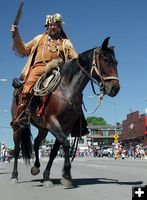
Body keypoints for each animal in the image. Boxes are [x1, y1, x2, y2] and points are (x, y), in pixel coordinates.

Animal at [10, 37, 120, 188]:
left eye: (116, 62)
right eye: (105, 60)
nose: (115, 88)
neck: (66, 90)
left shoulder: (65, 127)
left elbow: (55, 151)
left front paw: (47, 177)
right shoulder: (53, 122)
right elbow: (66, 144)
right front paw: (67, 175)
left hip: (42, 128)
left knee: (36, 143)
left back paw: (36, 167)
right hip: (18, 126)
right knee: (16, 149)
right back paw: (14, 176)